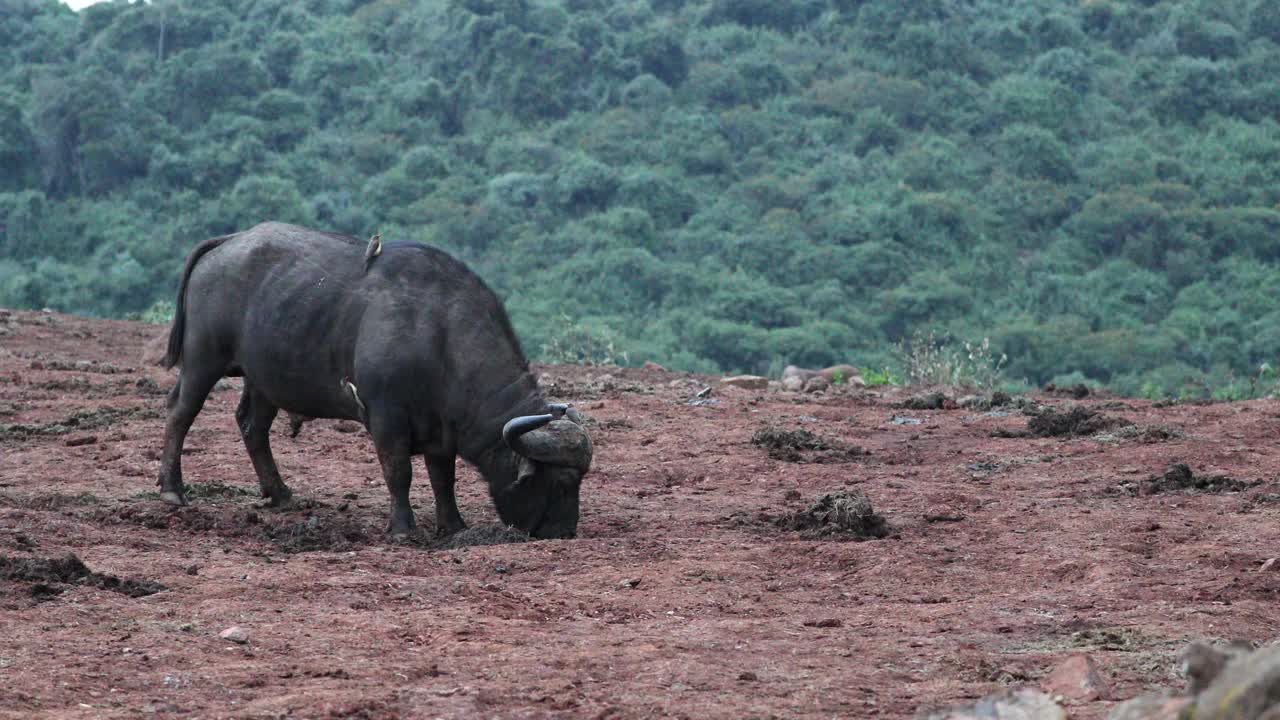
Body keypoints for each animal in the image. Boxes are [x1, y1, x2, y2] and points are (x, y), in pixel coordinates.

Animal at [157, 221, 591, 535]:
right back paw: (172, 490)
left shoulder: (441, 431)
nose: (564, 532)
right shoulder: (386, 418)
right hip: (203, 361)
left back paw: (279, 493)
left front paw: (452, 525)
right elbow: (399, 472)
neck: (439, 334)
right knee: (180, 413)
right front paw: (402, 528)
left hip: (264, 379)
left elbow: (443, 478)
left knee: (252, 425)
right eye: (561, 482)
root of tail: (229, 240)